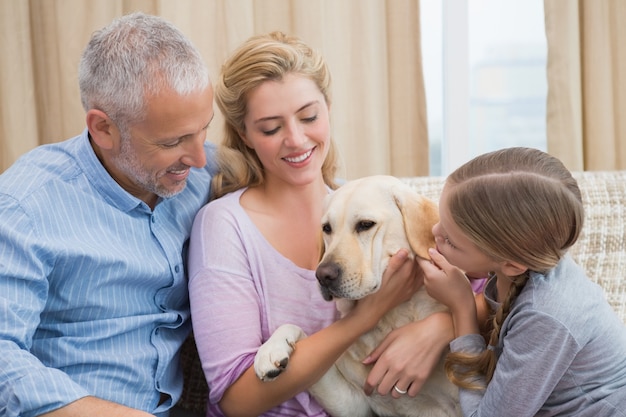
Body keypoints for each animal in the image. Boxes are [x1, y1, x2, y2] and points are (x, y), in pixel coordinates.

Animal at [252, 175, 458, 416]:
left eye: (365, 225)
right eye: (327, 228)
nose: (322, 275)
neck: (391, 319)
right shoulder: (353, 404)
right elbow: (297, 329)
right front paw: (271, 349)